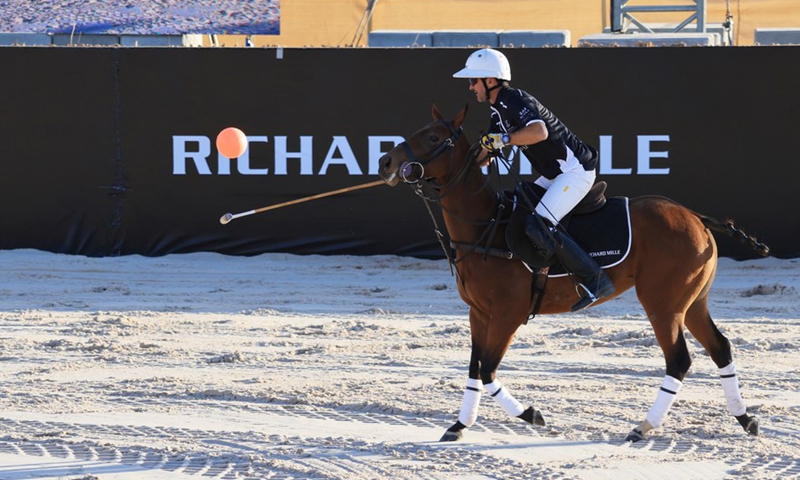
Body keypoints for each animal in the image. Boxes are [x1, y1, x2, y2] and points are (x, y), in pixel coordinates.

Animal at [380, 105, 768, 442]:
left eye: (433, 137)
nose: (385, 161)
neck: (486, 227)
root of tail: (697, 217)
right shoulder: (479, 313)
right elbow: (475, 370)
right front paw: (459, 426)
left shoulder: (508, 314)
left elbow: (488, 370)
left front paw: (531, 414)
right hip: (692, 302)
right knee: (720, 347)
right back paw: (745, 418)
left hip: (663, 303)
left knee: (679, 360)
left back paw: (643, 427)